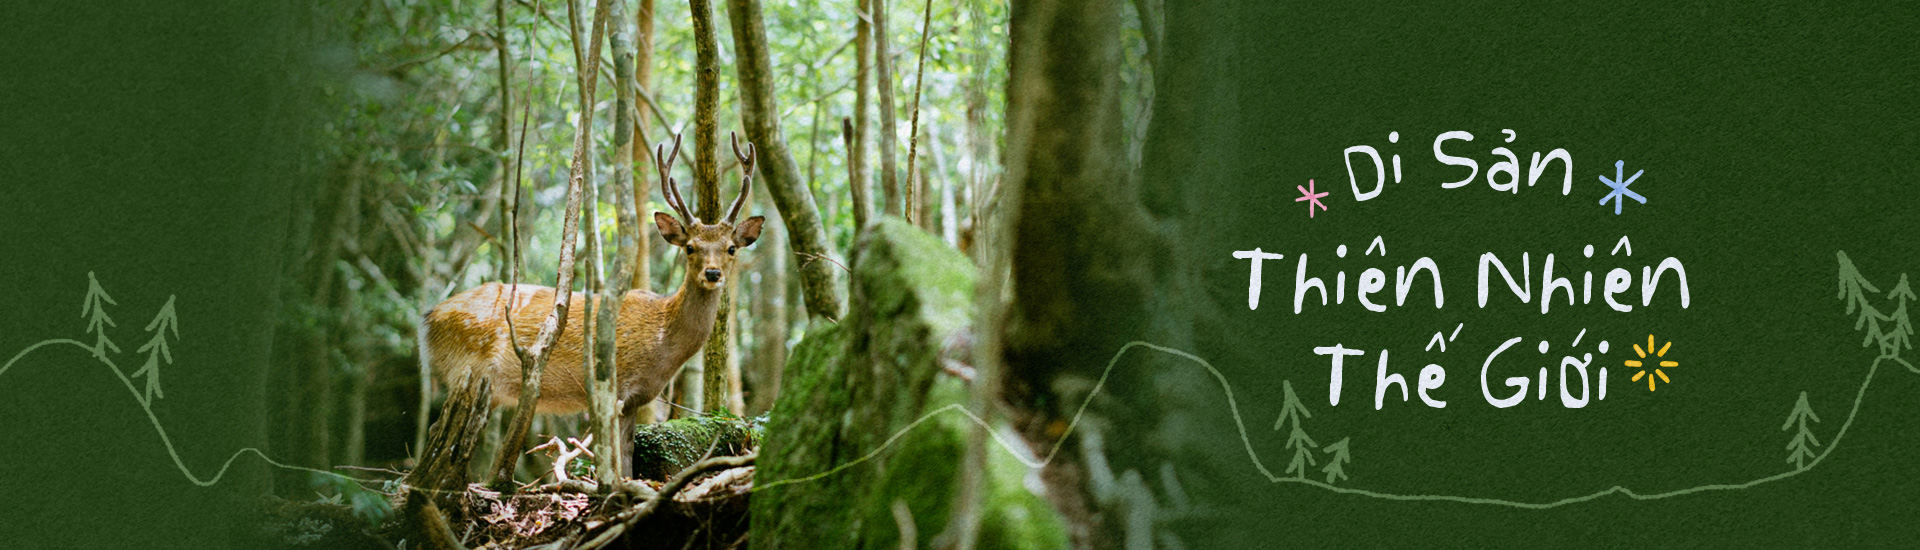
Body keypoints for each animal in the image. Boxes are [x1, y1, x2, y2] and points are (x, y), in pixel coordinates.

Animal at [420, 130, 764, 475]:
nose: (712, 272)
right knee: (437, 429)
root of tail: (431, 316)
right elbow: (613, 459)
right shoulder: (613, 388)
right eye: (690, 247)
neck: (662, 341)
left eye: (731, 248)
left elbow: (626, 457)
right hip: (464, 369)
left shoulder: (634, 400)